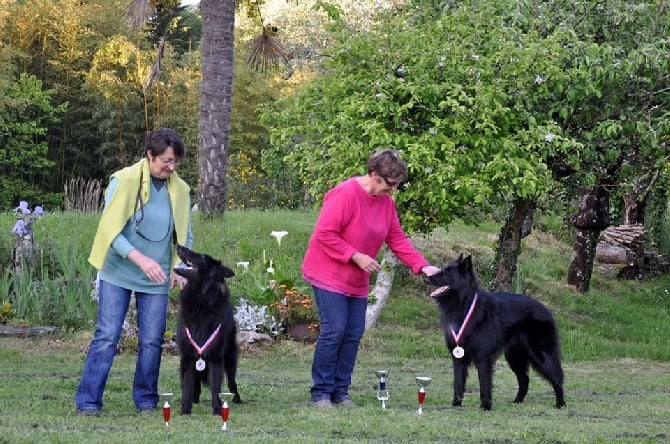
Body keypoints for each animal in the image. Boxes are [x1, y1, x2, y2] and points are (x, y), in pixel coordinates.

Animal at [175, 245, 243, 414]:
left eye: (203, 257)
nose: (178, 246)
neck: (201, 302)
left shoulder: (215, 357)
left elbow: (215, 387)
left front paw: (217, 409)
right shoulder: (187, 357)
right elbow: (187, 386)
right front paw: (185, 410)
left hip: (230, 357)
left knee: (231, 381)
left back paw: (237, 398)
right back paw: (195, 399)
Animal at [426, 253, 568, 410]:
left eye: (447, 273)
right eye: (442, 270)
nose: (425, 278)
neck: (464, 305)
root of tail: (546, 309)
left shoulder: (483, 359)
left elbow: (484, 385)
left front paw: (486, 407)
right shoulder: (458, 357)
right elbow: (458, 384)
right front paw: (456, 405)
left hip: (541, 355)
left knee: (557, 378)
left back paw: (561, 404)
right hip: (514, 357)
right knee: (525, 380)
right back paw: (517, 401)